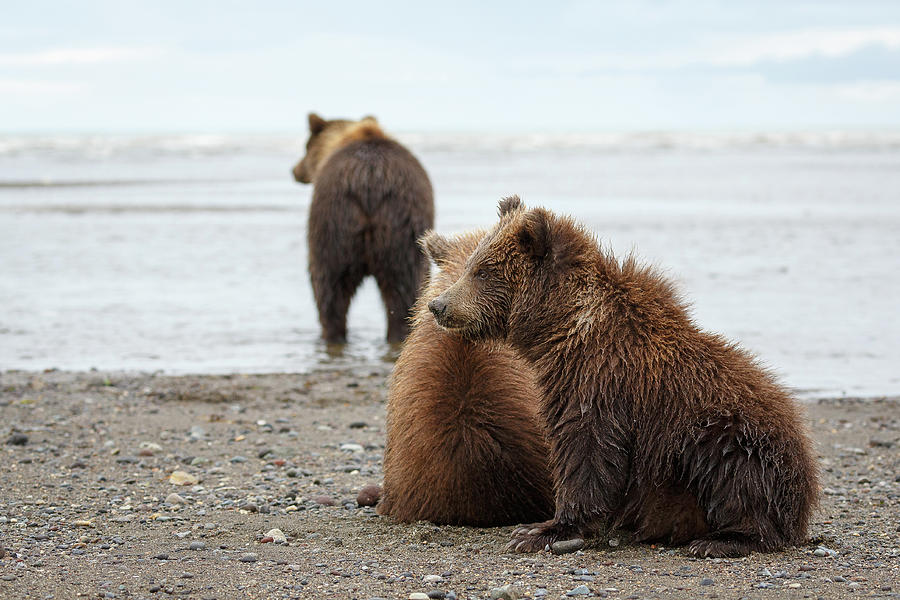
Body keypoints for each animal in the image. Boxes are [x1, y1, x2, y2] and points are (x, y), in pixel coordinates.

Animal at [294, 113, 434, 342]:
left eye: (306, 147)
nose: (295, 170)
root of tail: (369, 178)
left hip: (333, 222)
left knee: (327, 286)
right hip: (401, 230)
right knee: (404, 290)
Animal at [426, 197, 820, 556]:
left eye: (483, 270)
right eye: (473, 264)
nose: (438, 305)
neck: (562, 328)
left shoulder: (599, 381)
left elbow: (586, 450)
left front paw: (542, 530)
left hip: (732, 436)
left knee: (734, 477)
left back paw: (721, 540)